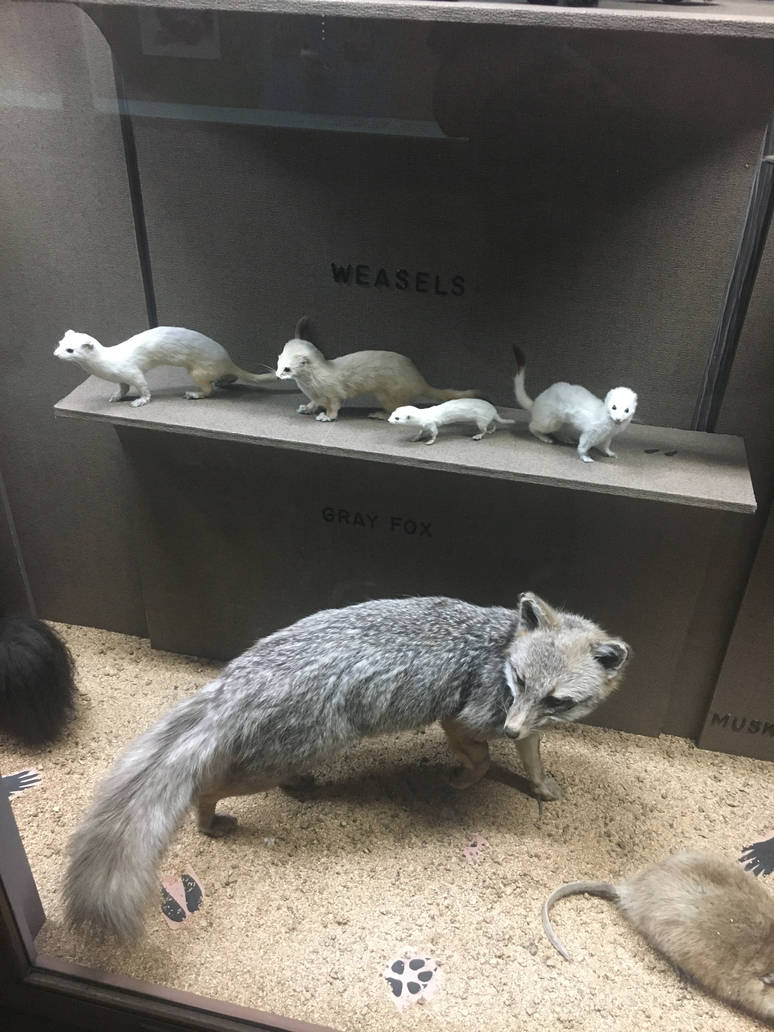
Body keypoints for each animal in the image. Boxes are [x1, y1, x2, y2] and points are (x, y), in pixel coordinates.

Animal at [63, 592, 630, 941]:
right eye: (518, 680)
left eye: (555, 699)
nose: (510, 727)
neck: (500, 641)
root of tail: (236, 679)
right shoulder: (464, 718)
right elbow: (484, 758)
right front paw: (463, 780)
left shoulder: (524, 727)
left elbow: (532, 757)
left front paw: (540, 786)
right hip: (277, 761)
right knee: (209, 784)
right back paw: (210, 820)